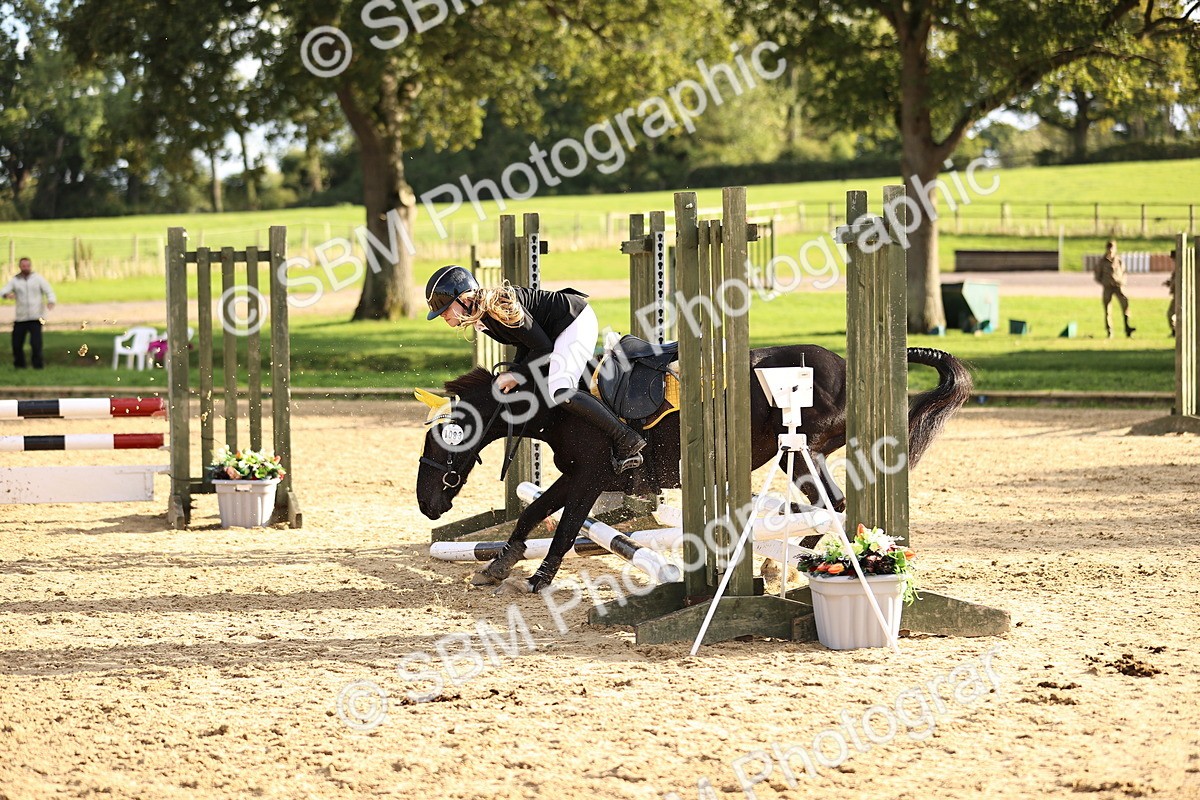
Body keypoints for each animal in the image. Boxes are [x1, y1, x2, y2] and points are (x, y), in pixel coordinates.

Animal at [416, 344, 971, 593]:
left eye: (445, 438)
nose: (427, 503)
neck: (557, 405)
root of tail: (847, 365)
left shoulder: (590, 477)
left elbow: (567, 524)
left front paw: (540, 577)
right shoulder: (575, 474)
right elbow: (536, 514)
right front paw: (500, 563)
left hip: (802, 450)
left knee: (827, 505)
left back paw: (792, 561)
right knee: (825, 507)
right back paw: (792, 559)